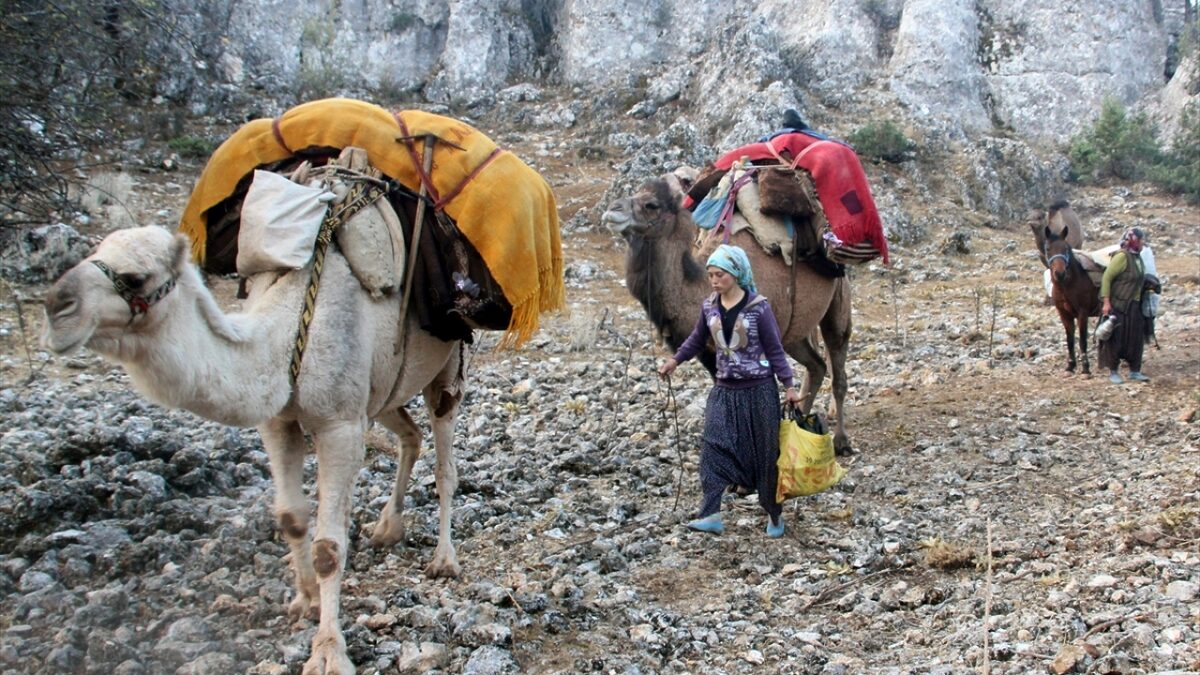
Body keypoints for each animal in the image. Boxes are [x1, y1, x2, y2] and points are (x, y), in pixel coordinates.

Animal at [42, 223, 463, 667]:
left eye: (136, 277)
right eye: (91, 253)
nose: (56, 308)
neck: (284, 338)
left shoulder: (340, 424)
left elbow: (329, 548)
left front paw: (328, 651)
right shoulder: (278, 421)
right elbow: (291, 517)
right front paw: (306, 600)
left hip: (447, 365)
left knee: (443, 461)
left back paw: (443, 559)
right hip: (384, 391)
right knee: (409, 435)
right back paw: (387, 527)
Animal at [600, 172, 854, 451]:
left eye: (651, 205)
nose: (612, 209)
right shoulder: (708, 351)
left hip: (837, 302)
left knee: (838, 367)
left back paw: (841, 440)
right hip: (792, 333)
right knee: (816, 365)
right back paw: (801, 425)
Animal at [1046, 224, 1099, 372]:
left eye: (1065, 248)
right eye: (1048, 249)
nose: (1060, 273)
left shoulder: (1083, 313)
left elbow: (1082, 339)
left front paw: (1085, 367)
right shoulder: (1064, 314)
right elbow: (1070, 339)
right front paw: (1070, 365)